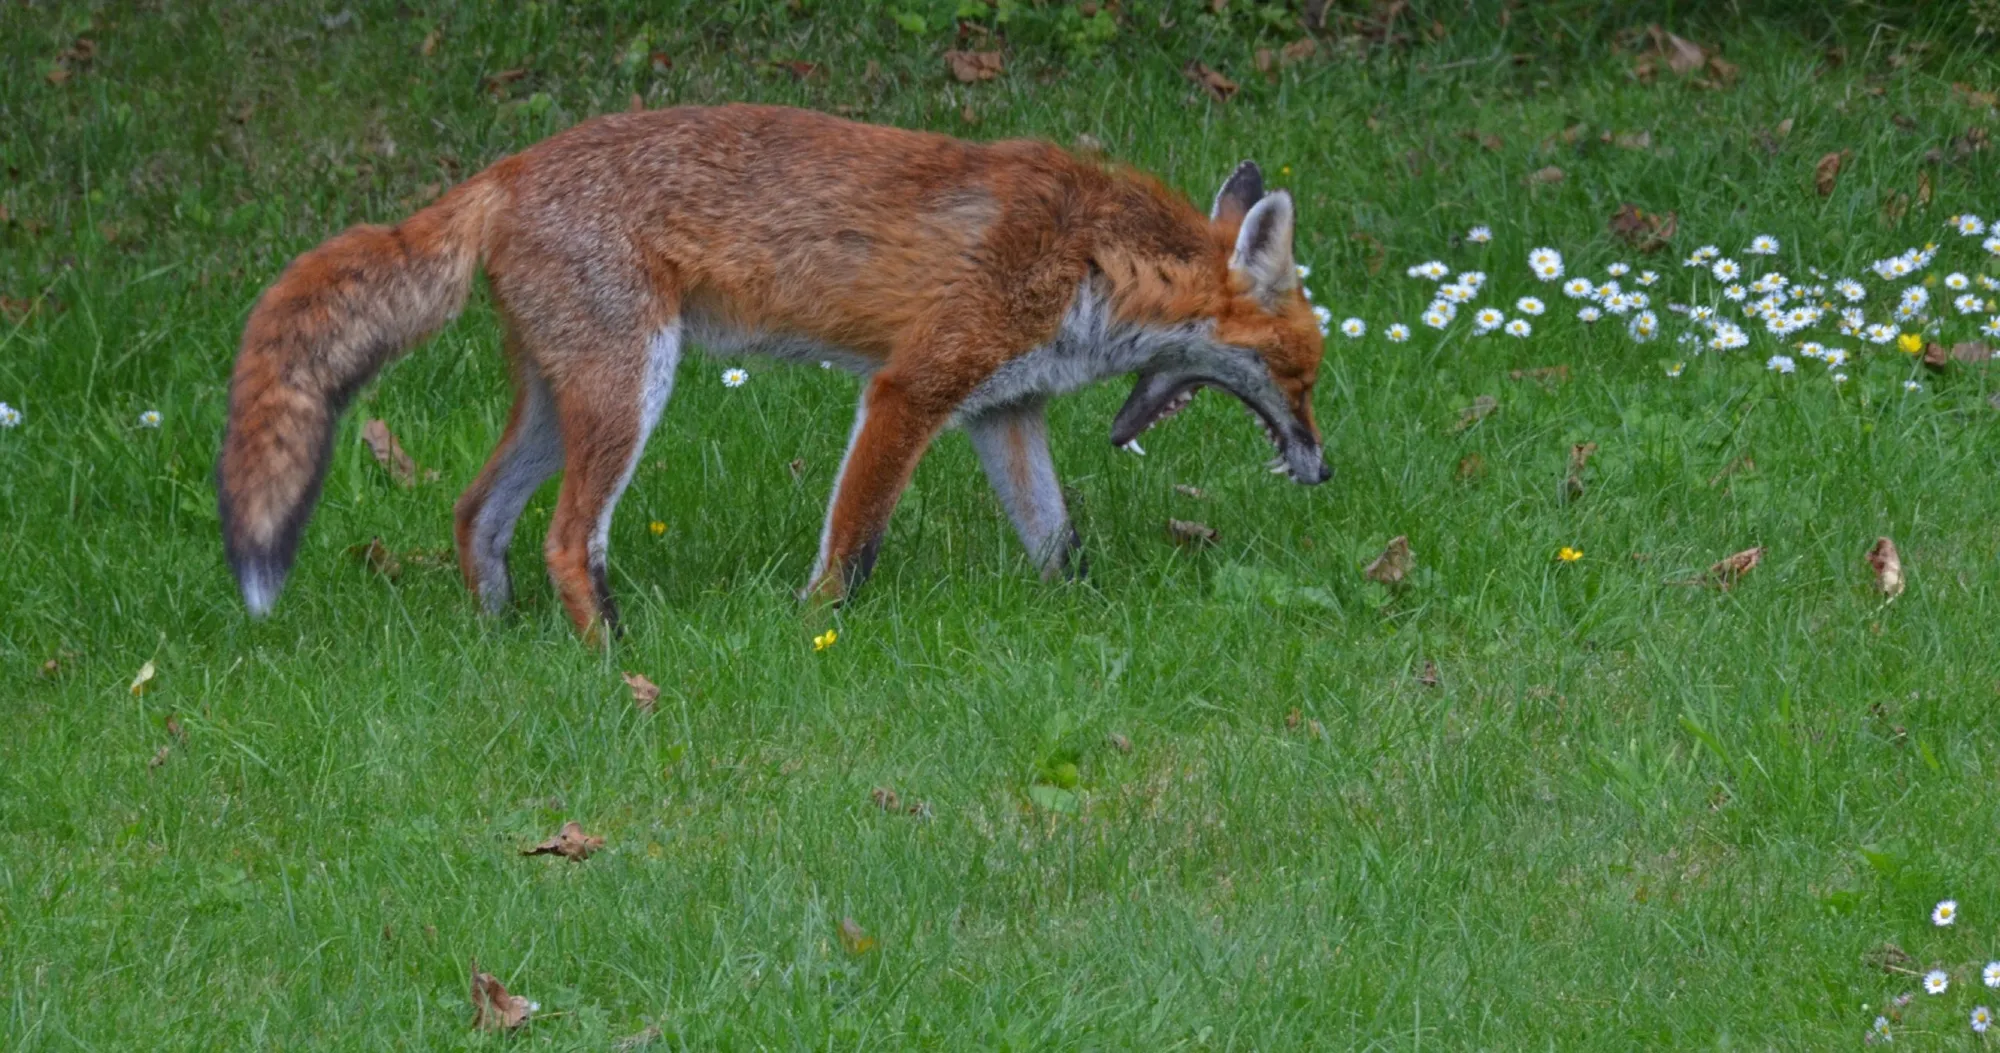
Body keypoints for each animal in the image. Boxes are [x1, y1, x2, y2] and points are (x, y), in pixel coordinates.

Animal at [217, 103, 1329, 642]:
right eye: (1303, 372)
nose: (1322, 470)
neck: (1093, 262)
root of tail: (503, 172)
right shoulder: (912, 387)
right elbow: (853, 544)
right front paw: (813, 631)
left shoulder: (1003, 411)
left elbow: (1059, 545)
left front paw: (1089, 620)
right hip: (631, 389)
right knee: (569, 539)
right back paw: (616, 659)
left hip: (561, 401)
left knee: (475, 512)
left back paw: (500, 642)